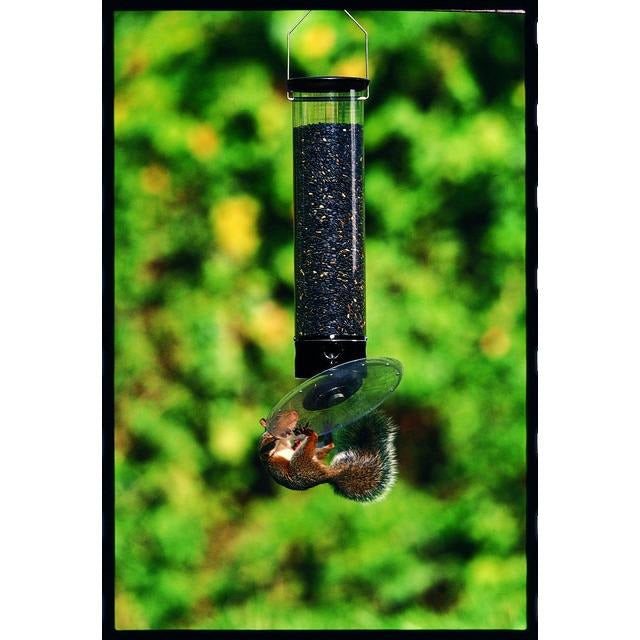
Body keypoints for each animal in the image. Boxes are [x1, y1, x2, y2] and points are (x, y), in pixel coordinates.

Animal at [258, 409, 398, 503]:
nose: (295, 413)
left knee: (327, 447)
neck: (283, 442)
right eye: (278, 417)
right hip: (300, 462)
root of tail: (326, 476)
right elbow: (268, 444)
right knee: (310, 447)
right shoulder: (265, 448)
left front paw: (295, 441)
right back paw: (312, 434)